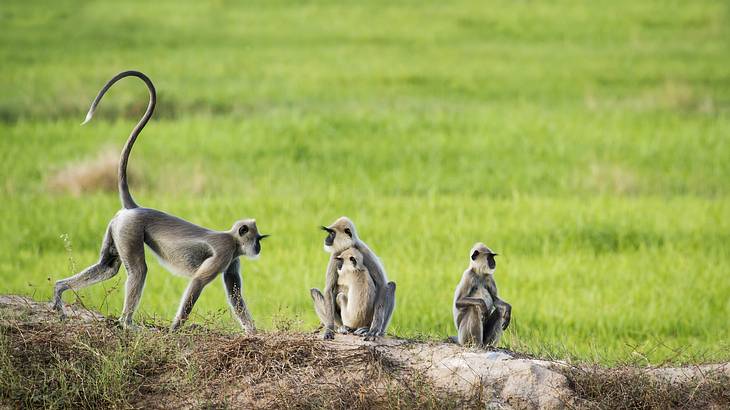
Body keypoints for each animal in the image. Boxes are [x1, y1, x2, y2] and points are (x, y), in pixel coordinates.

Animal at [52, 70, 268, 334]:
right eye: (257, 239)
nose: (258, 248)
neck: (232, 238)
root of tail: (134, 208)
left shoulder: (233, 259)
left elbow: (235, 295)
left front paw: (253, 333)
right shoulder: (226, 252)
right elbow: (198, 282)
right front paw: (175, 329)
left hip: (117, 227)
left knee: (108, 267)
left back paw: (60, 289)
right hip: (130, 229)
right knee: (138, 270)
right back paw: (127, 323)